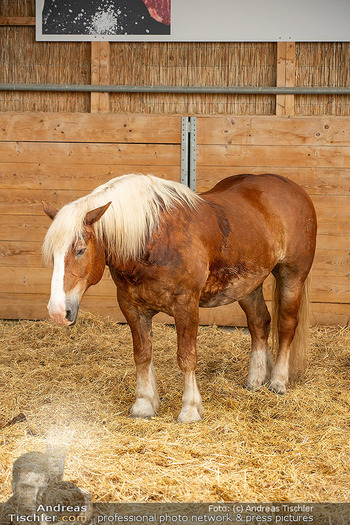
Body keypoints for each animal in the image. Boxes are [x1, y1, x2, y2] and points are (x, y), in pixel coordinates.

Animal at [42, 174, 318, 424]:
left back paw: (278, 381)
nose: (58, 312)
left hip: (292, 275)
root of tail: (294, 188)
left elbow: (186, 357)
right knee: (259, 323)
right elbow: (142, 355)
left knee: (286, 325)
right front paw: (144, 404)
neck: (151, 239)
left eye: (80, 250)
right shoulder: (132, 308)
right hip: (248, 285)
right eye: (52, 254)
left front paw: (190, 409)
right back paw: (255, 380)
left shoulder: (186, 306)